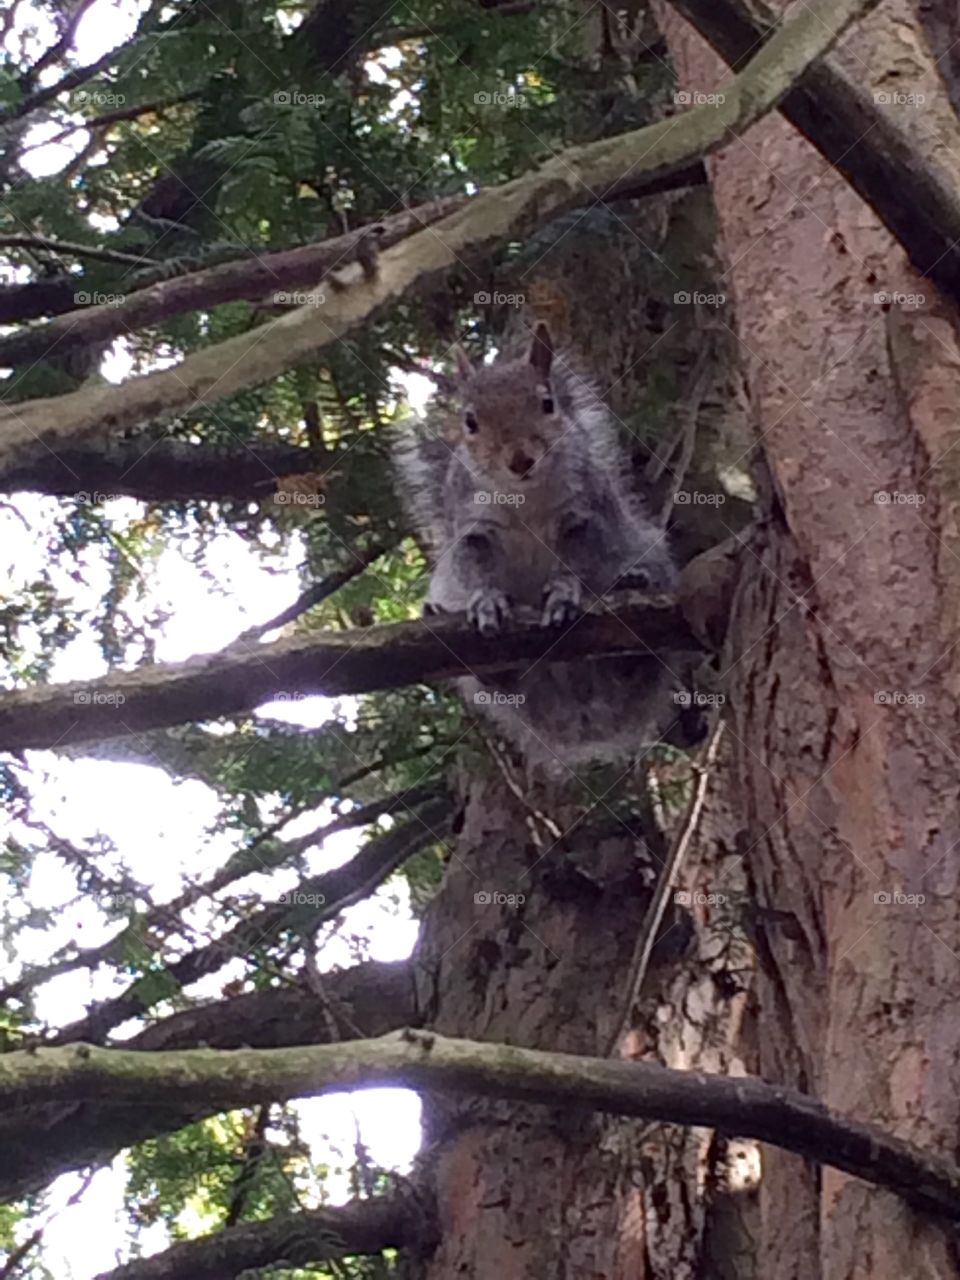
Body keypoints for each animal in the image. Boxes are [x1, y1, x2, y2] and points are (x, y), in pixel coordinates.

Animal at [394, 325, 696, 773]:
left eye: (547, 403)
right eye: (470, 421)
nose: (521, 459)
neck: (525, 496)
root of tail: (582, 718)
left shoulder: (583, 513)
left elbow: (579, 559)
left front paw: (564, 593)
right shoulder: (473, 526)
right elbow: (474, 565)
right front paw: (486, 601)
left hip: (647, 556)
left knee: (635, 665)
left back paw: (632, 586)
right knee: (503, 683)